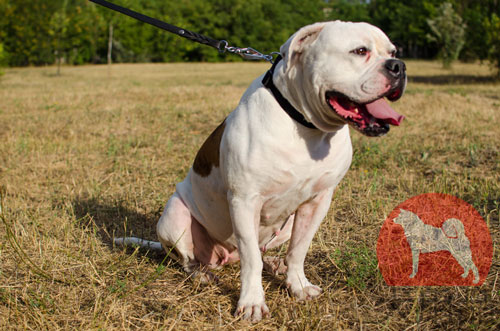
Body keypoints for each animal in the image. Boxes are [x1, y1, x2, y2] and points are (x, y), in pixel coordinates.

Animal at [116, 20, 406, 322]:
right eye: (360, 51)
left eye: (393, 51)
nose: (398, 66)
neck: (306, 126)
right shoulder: (245, 201)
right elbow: (251, 258)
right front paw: (252, 302)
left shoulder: (318, 202)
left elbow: (298, 249)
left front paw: (298, 285)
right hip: (174, 217)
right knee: (191, 260)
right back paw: (202, 275)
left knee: (265, 251)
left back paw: (275, 264)